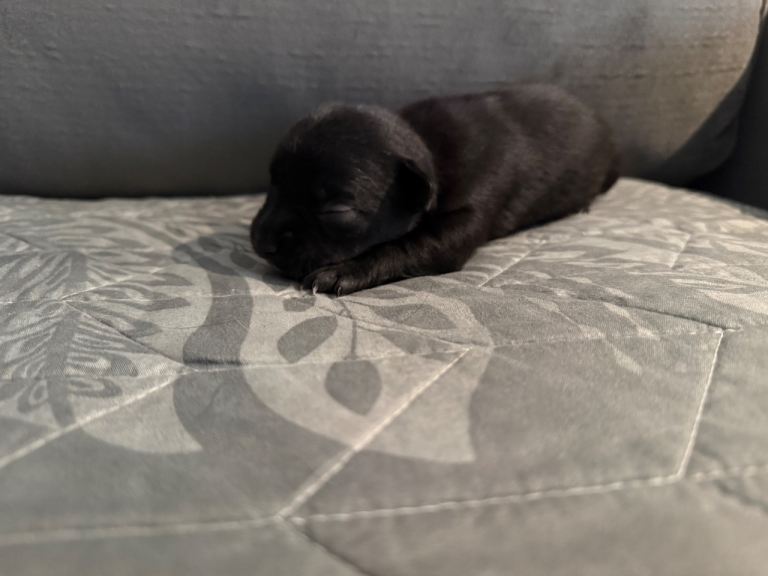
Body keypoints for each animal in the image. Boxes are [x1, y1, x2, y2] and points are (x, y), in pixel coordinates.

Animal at [251, 84, 619, 295]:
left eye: (336, 211)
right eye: (272, 183)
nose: (261, 242)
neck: (425, 145)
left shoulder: (464, 218)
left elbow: (403, 246)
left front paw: (345, 271)